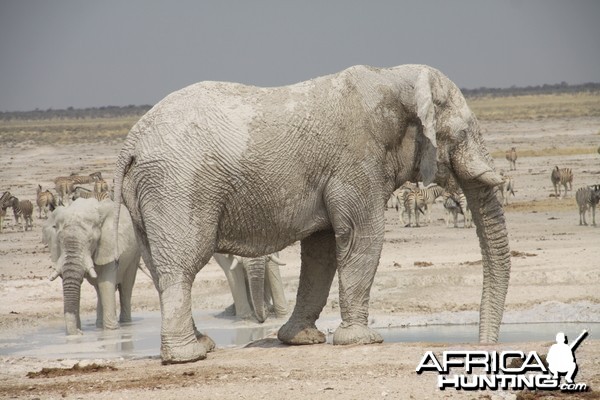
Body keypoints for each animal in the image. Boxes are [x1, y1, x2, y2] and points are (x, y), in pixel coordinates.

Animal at [43, 198, 141, 336]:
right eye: (59, 241)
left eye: (91, 241)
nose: (79, 333)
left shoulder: (109, 244)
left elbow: (105, 283)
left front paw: (111, 331)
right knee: (98, 289)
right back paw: (99, 326)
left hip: (134, 255)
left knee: (126, 287)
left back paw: (125, 324)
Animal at [113, 64, 510, 364]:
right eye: (462, 133)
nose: (481, 347)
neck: (394, 78)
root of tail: (131, 142)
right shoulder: (356, 163)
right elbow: (362, 237)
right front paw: (363, 340)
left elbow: (322, 249)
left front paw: (300, 339)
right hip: (178, 186)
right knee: (182, 266)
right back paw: (188, 355)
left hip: (152, 193)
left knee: (161, 269)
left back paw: (202, 344)